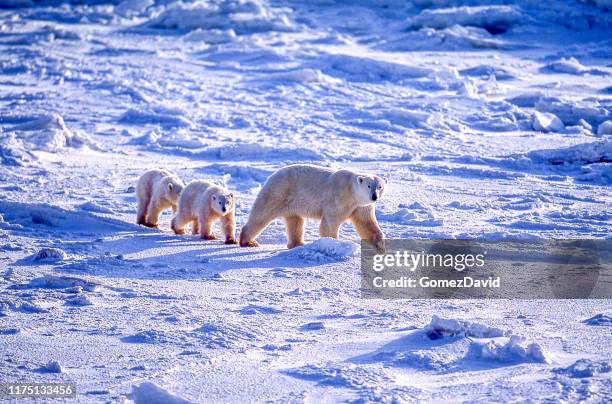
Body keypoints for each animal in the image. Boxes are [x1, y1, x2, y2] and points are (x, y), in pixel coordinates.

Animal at [240, 164, 388, 252]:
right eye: (369, 186)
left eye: (380, 186)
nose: (374, 196)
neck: (351, 191)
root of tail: (271, 176)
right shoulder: (339, 198)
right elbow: (330, 222)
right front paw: (333, 243)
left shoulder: (362, 206)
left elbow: (366, 223)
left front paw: (380, 246)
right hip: (279, 192)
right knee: (262, 214)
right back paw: (248, 241)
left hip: (291, 204)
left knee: (295, 221)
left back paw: (297, 244)